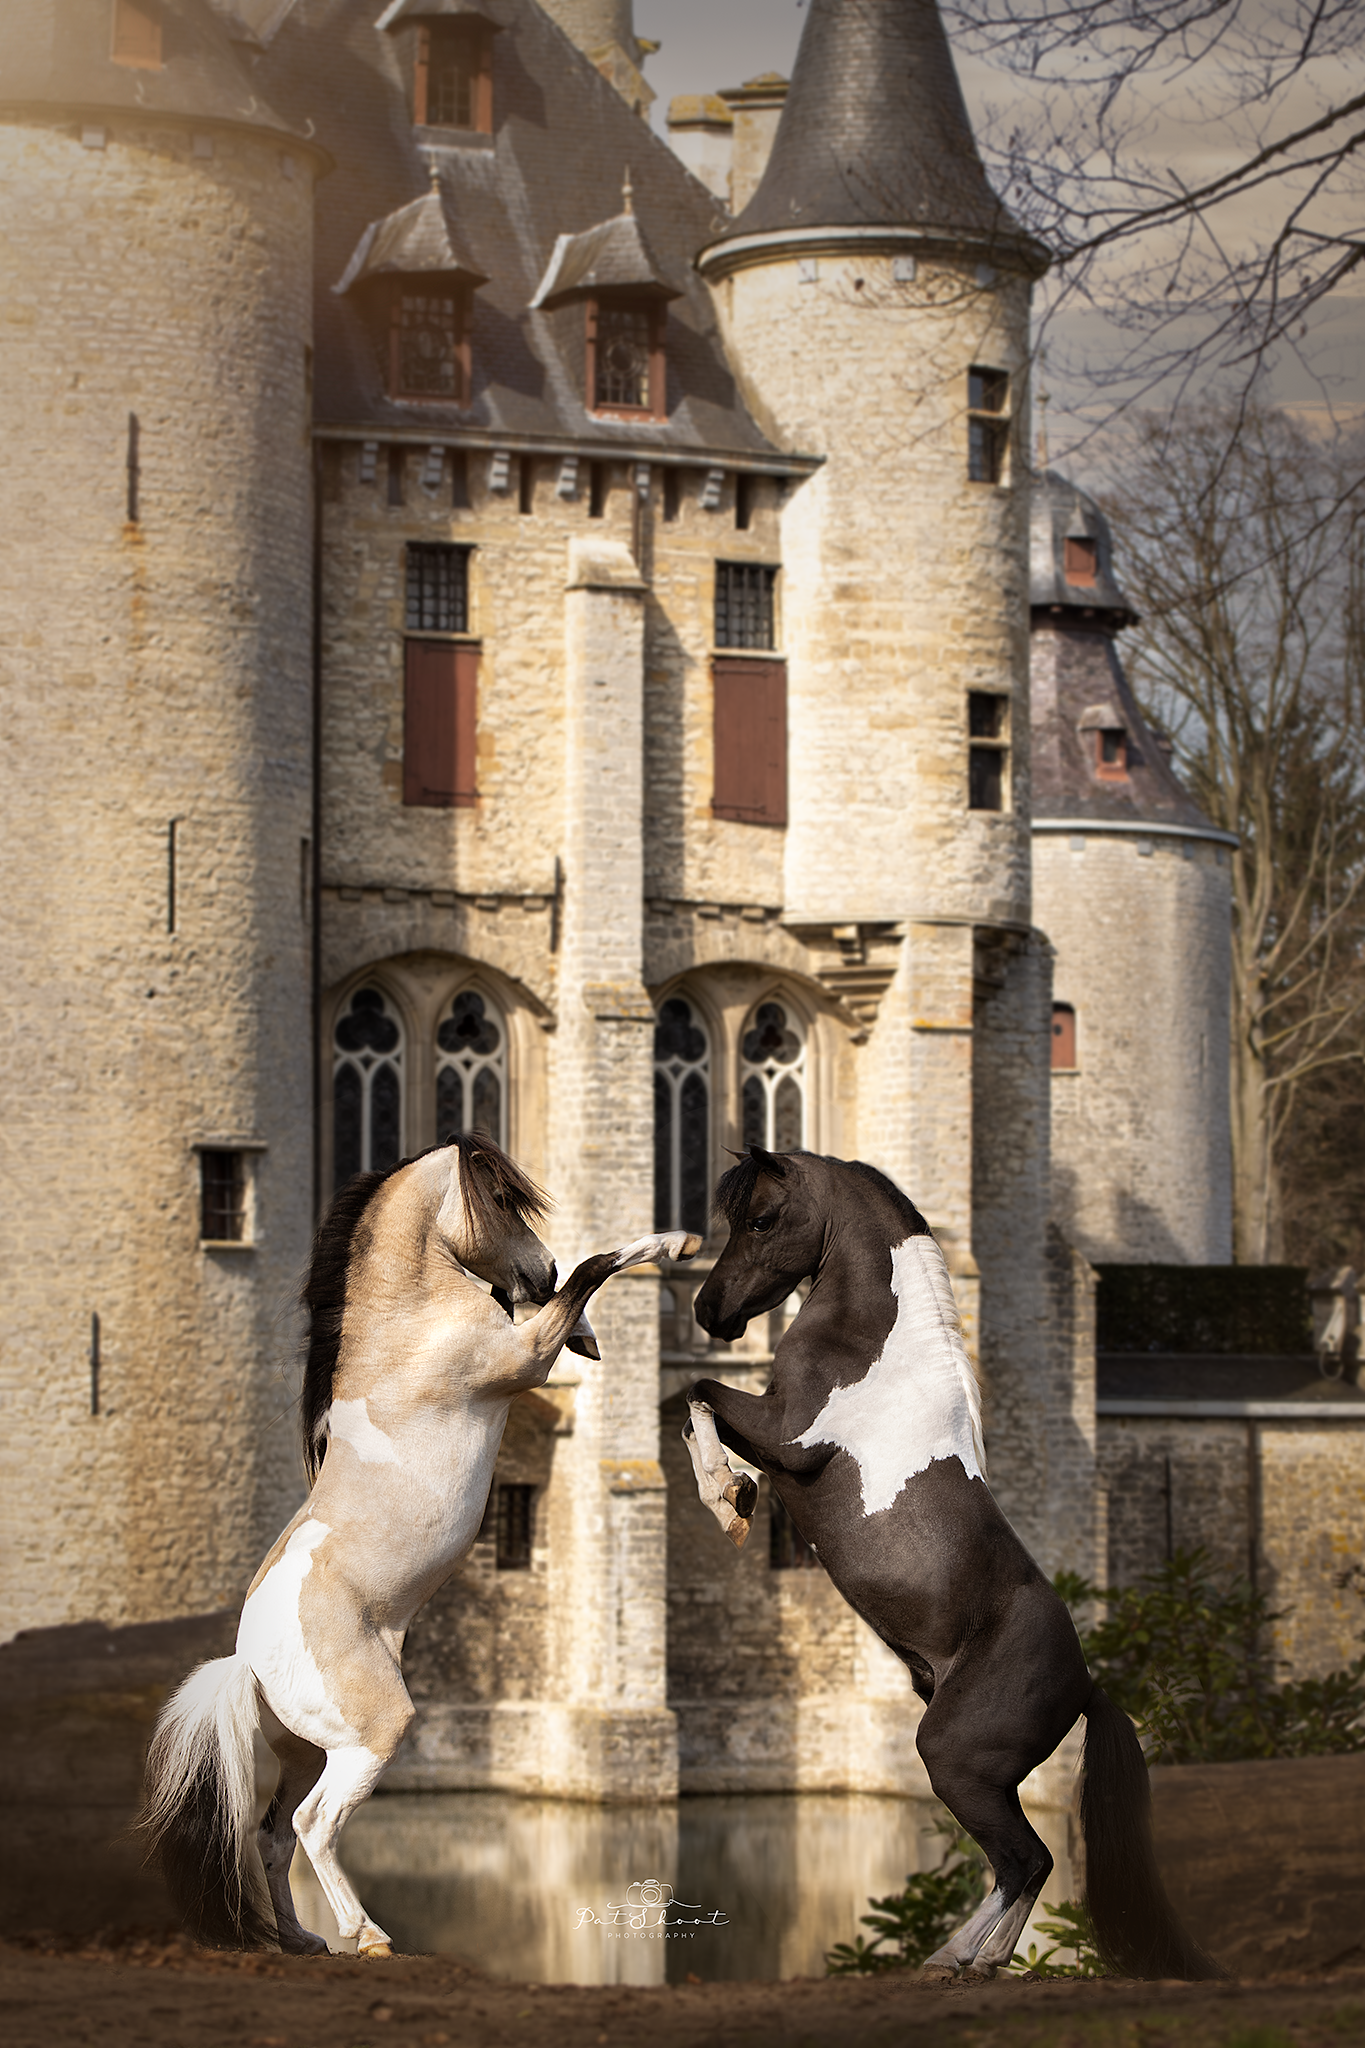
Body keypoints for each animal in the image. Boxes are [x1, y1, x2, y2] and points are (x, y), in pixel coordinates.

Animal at [140, 1134, 700, 1957]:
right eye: (500, 1198)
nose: (538, 1270)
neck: (406, 1327)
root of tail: (249, 1659)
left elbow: (581, 1294)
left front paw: (593, 1330)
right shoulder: (523, 1359)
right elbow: (598, 1266)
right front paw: (672, 1243)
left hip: (308, 1749)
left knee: (274, 1836)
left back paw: (302, 1940)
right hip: (372, 1736)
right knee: (313, 1825)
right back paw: (366, 1935)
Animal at [681, 1146, 1220, 1983]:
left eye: (762, 1219)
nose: (712, 1313)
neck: (871, 1348)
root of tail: (1086, 1684)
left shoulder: (784, 1439)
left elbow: (696, 1389)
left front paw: (725, 1496)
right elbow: (693, 1395)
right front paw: (728, 1494)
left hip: (953, 1759)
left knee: (1027, 1860)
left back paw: (968, 1960)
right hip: (986, 1776)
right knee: (1021, 1863)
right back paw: (961, 1956)